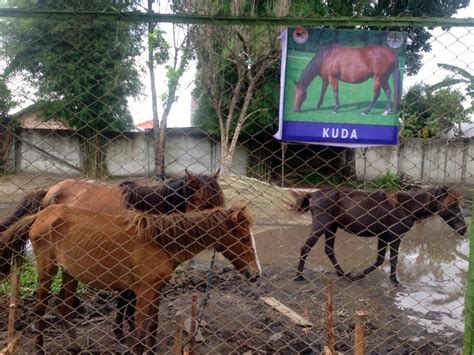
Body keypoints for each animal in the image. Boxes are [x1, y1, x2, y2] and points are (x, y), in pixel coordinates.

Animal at [0, 204, 260, 354]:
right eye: (244, 238)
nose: (255, 275)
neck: (161, 244)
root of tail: (41, 215)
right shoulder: (144, 292)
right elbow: (140, 333)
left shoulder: (155, 291)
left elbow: (152, 326)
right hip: (47, 269)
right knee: (41, 309)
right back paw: (40, 349)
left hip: (70, 272)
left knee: (64, 306)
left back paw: (74, 347)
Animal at [292, 186, 466, 286]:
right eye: (453, 205)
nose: (464, 229)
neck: (405, 207)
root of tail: (313, 194)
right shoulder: (395, 237)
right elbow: (393, 259)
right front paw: (395, 282)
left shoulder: (383, 236)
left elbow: (380, 260)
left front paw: (357, 276)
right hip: (321, 225)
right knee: (306, 247)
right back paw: (299, 276)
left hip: (331, 227)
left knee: (329, 250)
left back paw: (343, 274)